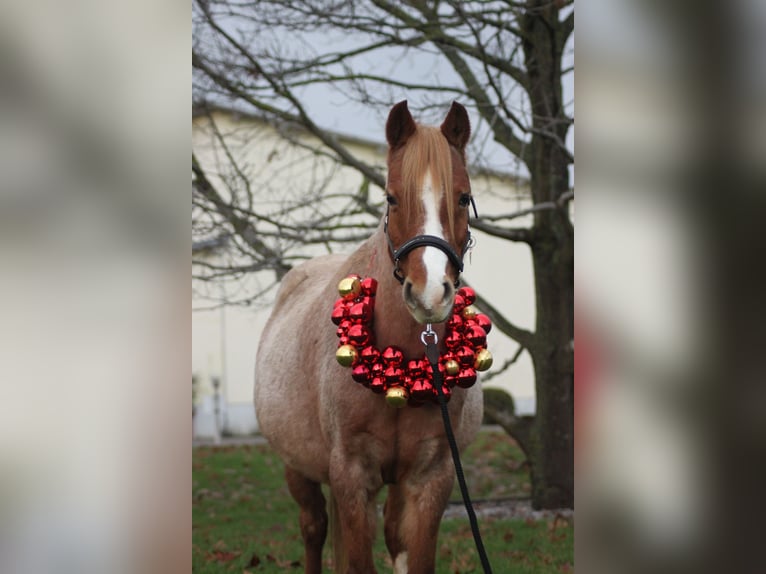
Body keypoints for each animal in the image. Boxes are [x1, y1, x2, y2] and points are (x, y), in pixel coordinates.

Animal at [254, 100, 485, 574]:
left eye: (463, 197)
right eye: (391, 198)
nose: (430, 293)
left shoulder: (431, 477)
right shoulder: (351, 474)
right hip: (297, 468)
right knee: (314, 529)